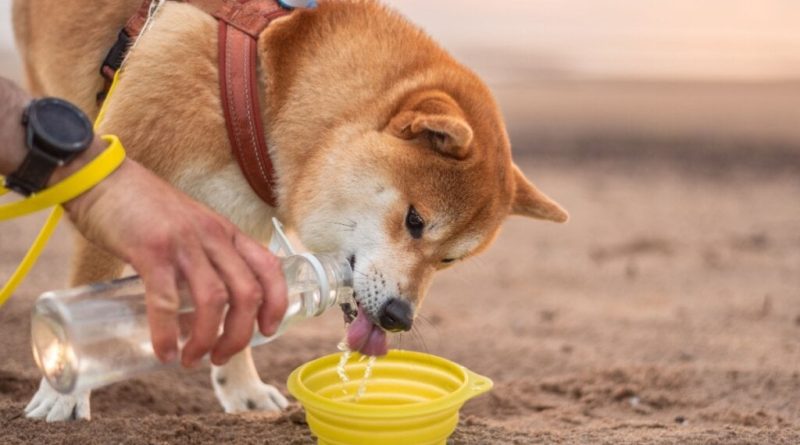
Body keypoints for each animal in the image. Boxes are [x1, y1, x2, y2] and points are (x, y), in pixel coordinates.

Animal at [10, 0, 564, 420]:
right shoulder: (119, 180)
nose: (399, 318)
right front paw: (63, 392)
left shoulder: (240, 220)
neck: (270, 93)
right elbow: (91, 280)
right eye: (415, 221)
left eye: (449, 260)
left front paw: (242, 390)